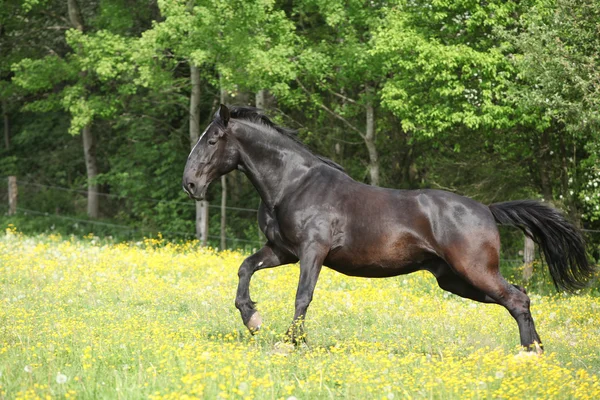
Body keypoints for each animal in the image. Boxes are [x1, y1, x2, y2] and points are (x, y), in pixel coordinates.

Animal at [183, 104, 596, 352]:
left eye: (213, 140)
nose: (190, 184)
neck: (293, 184)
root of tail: (487, 209)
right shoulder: (283, 251)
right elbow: (245, 269)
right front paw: (253, 320)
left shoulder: (312, 252)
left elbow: (303, 296)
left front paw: (291, 341)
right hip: (455, 280)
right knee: (519, 298)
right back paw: (536, 351)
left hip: (474, 271)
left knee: (517, 299)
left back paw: (530, 354)